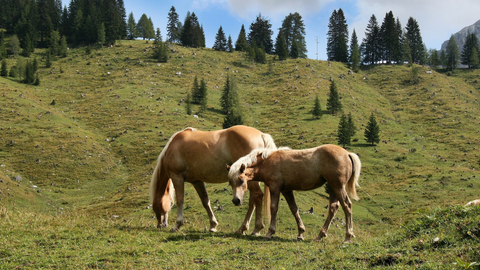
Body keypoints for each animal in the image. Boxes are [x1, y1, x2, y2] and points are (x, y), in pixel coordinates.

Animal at [150, 125, 278, 235]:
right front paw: (213, 225)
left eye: (157, 206)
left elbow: (180, 200)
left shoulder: (177, 177)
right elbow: (205, 201)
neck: (174, 146)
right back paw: (242, 228)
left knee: (257, 196)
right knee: (253, 200)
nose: (160, 225)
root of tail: (261, 134)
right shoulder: (197, 181)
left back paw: (256, 229)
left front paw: (177, 225)